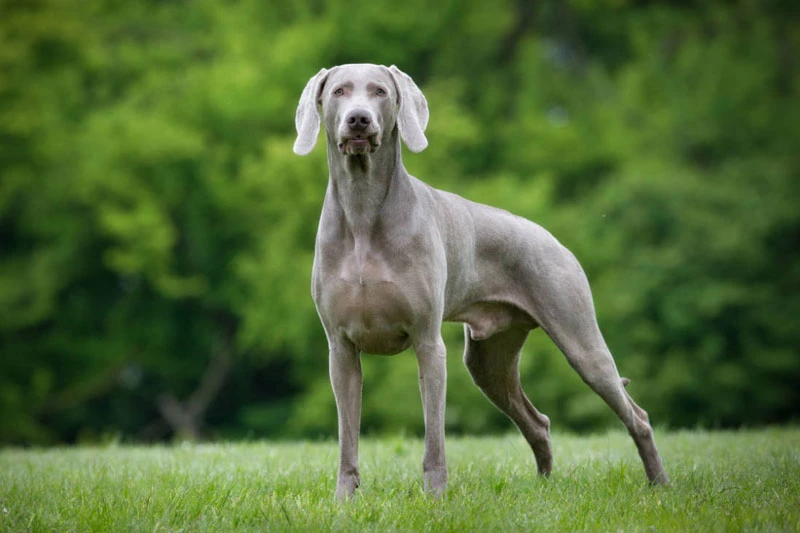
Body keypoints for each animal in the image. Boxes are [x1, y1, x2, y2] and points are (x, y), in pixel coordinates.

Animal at [294, 63, 668, 498]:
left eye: (380, 92)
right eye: (339, 91)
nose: (359, 119)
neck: (362, 210)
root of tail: (553, 239)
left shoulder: (428, 343)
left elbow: (434, 437)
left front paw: (434, 497)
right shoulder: (341, 349)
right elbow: (347, 438)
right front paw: (344, 500)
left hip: (580, 340)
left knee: (636, 415)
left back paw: (659, 483)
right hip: (489, 359)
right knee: (537, 422)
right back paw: (544, 487)